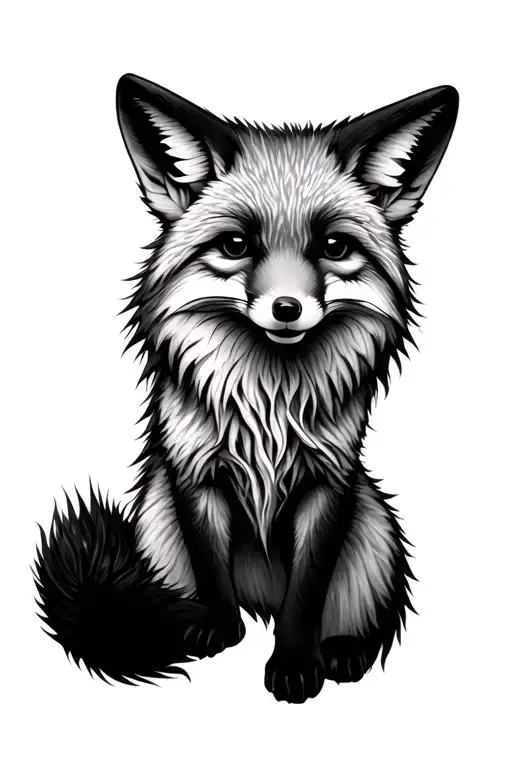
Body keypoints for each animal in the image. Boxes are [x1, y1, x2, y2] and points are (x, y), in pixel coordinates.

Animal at [34, 74, 458, 703]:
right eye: (236, 246)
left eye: (334, 248)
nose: (287, 309)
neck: (268, 405)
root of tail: (262, 600)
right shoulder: (193, 474)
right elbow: (211, 569)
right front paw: (216, 630)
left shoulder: (329, 483)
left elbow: (308, 590)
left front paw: (296, 663)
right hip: (156, 517)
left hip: (374, 525)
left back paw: (344, 651)